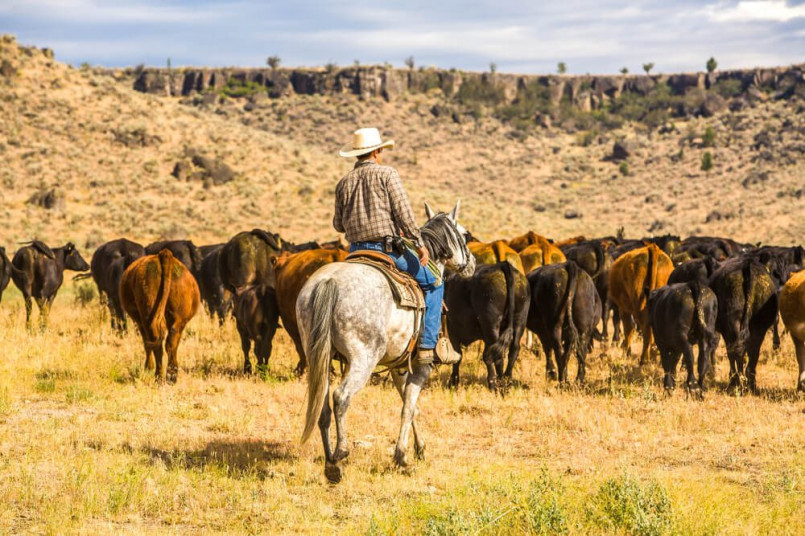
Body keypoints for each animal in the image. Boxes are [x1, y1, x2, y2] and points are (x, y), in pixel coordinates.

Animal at [120, 249, 200, 383]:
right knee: (171, 342)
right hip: (178, 319)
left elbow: (146, 344)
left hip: (148, 316)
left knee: (156, 343)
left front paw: (148, 367)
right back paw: (171, 376)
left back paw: (158, 376)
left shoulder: (140, 322)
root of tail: (164, 254)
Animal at [443, 262, 530, 390]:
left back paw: (499, 384)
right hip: (519, 321)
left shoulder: (452, 326)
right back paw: (507, 380)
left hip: (491, 324)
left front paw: (453, 382)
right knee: (512, 350)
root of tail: (503, 265)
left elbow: (458, 355)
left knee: (496, 355)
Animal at [708, 257, 778, 393]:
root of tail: (747, 265)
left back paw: (737, 382)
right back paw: (750, 384)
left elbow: (730, 354)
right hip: (759, 325)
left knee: (737, 351)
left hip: (733, 322)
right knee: (753, 352)